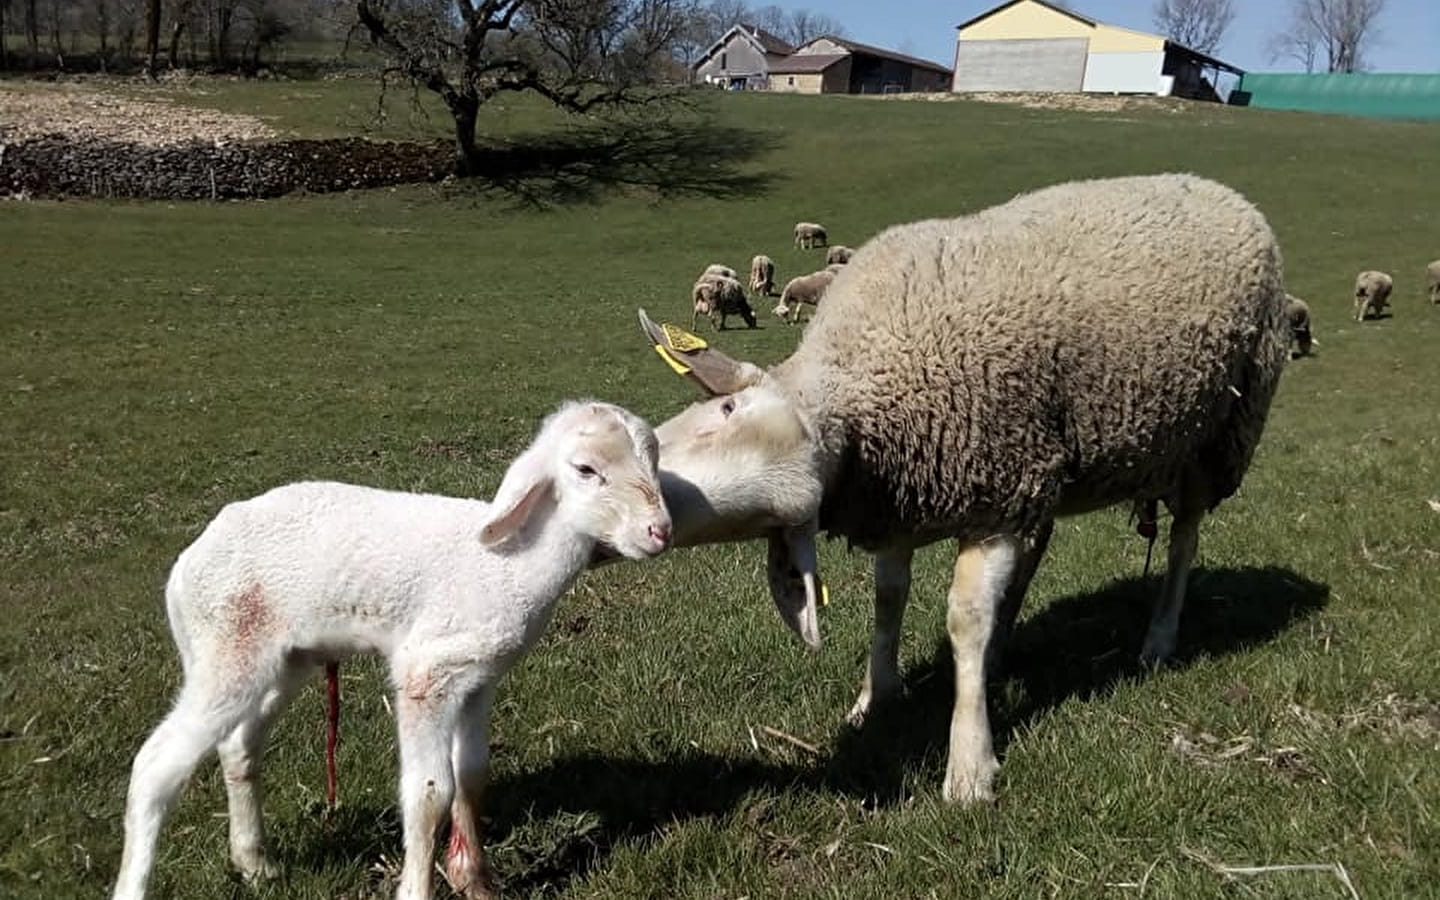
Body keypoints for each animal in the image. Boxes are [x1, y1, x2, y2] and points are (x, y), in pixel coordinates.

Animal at [109, 403, 671, 898]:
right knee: (155, 766)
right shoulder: (428, 672)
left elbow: (472, 776)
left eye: (654, 460)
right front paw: (418, 888)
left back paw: (255, 863)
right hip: (225, 645)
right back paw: (136, 884)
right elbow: (430, 793)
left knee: (238, 746)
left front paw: (476, 881)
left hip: (283, 658)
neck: (509, 564)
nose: (660, 531)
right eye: (585, 469)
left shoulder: (479, 677)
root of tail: (189, 560)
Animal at [636, 173, 1290, 800]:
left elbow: (966, 619)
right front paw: (876, 696)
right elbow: (889, 598)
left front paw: (970, 764)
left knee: (1184, 541)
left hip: (1216, 438)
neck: (864, 383)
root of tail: (1226, 193)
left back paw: (1158, 637)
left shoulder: (996, 494)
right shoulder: (902, 500)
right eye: (724, 409)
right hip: (1055, 468)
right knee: (1042, 544)